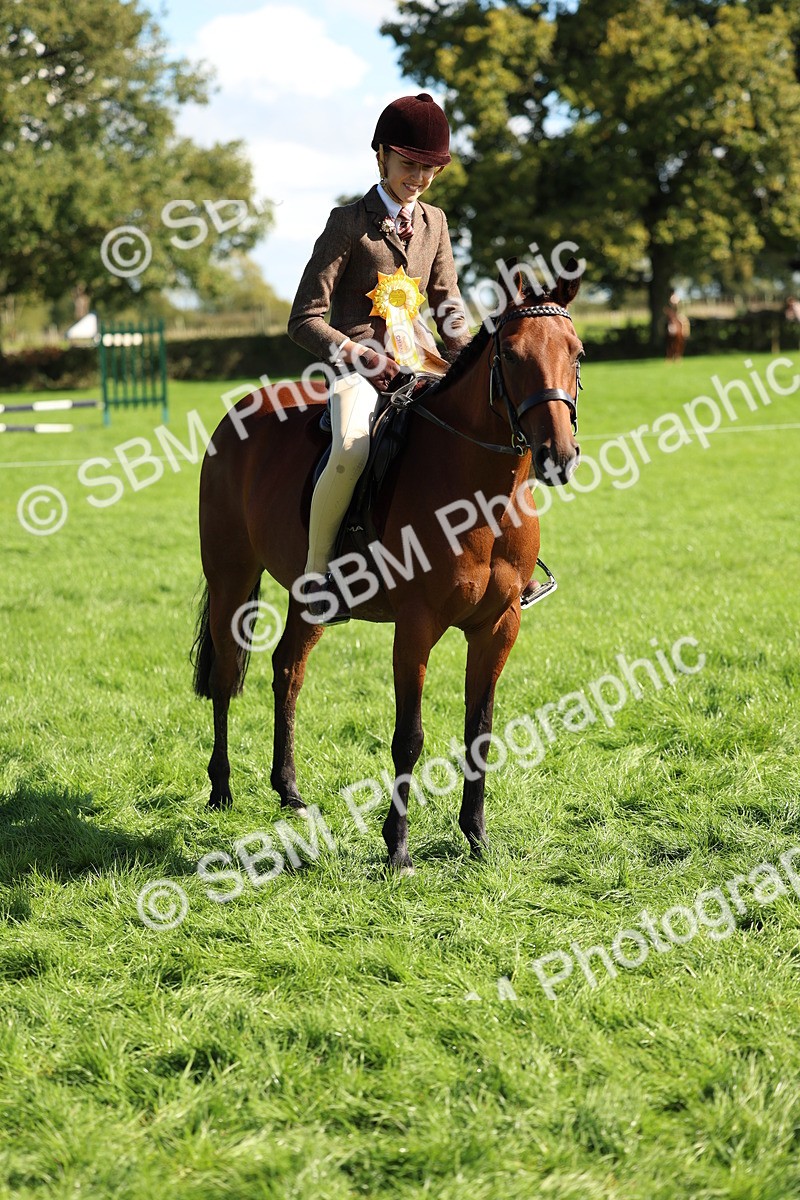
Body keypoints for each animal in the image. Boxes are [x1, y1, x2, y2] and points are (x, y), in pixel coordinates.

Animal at [191, 261, 583, 872]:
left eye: (578, 353)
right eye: (514, 356)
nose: (558, 456)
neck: (483, 498)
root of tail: (239, 412)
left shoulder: (499, 626)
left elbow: (481, 730)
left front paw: (476, 837)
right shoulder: (416, 626)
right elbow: (409, 736)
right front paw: (397, 846)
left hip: (308, 596)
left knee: (288, 670)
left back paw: (288, 789)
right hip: (231, 578)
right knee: (225, 674)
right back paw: (221, 787)